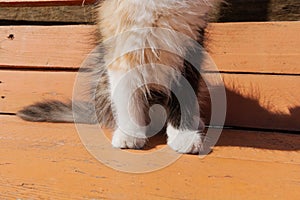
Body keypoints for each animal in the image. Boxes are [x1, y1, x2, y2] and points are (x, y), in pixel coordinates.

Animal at [17, 0, 221, 154]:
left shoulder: (190, 53)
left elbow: (185, 98)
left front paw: (184, 135)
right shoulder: (122, 48)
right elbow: (126, 97)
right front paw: (130, 133)